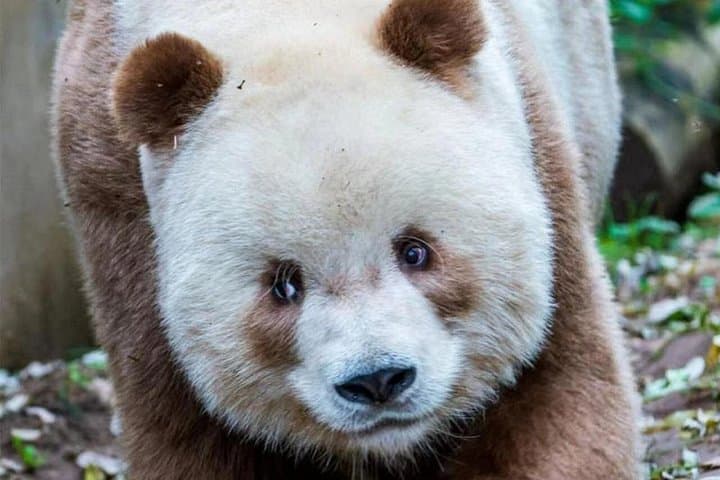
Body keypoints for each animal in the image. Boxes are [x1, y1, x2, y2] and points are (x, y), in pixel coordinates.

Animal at [52, 0, 641, 478]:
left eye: (415, 251)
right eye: (284, 285)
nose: (378, 380)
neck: (283, 25)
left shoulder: (536, 155)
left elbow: (555, 392)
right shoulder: (116, 196)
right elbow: (185, 428)